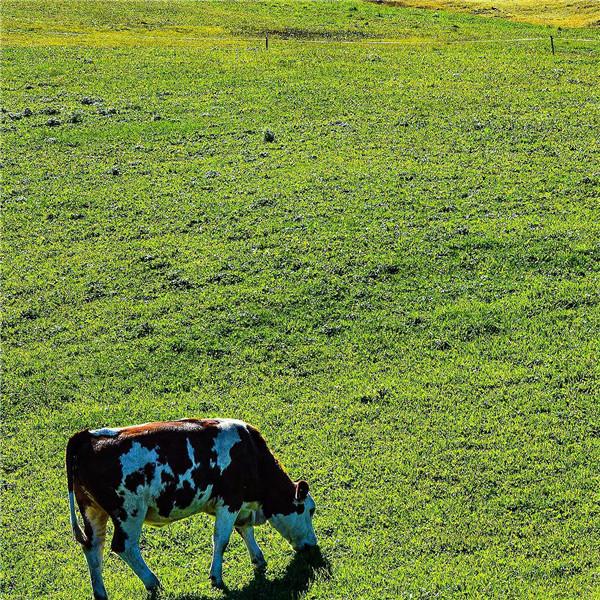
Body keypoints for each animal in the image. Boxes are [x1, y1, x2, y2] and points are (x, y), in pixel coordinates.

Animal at [65, 420, 316, 596]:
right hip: (129, 512)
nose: (313, 545)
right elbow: (222, 539)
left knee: (93, 548)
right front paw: (216, 578)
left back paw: (101, 593)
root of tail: (86, 437)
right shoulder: (230, 500)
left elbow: (245, 530)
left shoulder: (239, 504)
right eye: (309, 510)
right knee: (123, 546)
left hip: (93, 510)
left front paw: (258, 560)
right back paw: (153, 582)